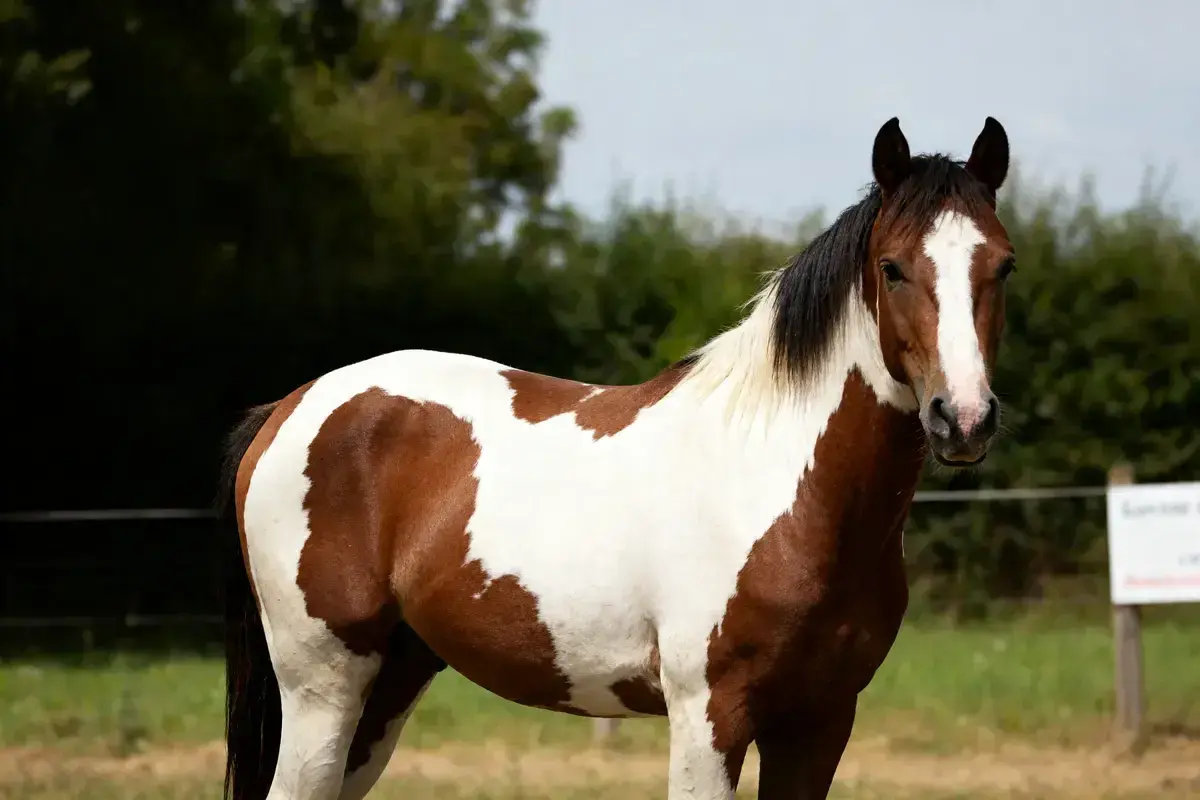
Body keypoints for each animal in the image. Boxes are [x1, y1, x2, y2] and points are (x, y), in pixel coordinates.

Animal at [218, 115, 1015, 800]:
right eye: (892, 268)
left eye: (1003, 267)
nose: (963, 418)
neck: (783, 491)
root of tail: (288, 407)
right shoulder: (710, 717)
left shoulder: (820, 722)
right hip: (324, 683)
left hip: (389, 683)